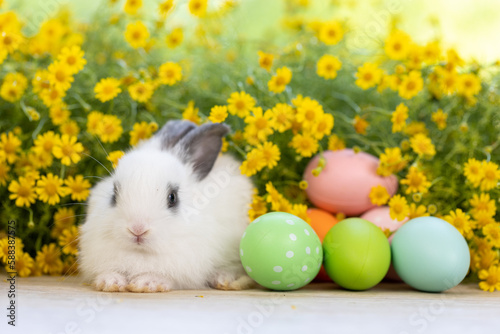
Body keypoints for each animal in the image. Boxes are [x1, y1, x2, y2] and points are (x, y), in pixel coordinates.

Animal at [80, 120, 258, 292]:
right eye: (114, 193)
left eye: (172, 197)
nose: (137, 229)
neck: (140, 253)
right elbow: (109, 272)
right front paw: (110, 282)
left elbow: (165, 277)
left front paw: (145, 283)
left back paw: (223, 279)